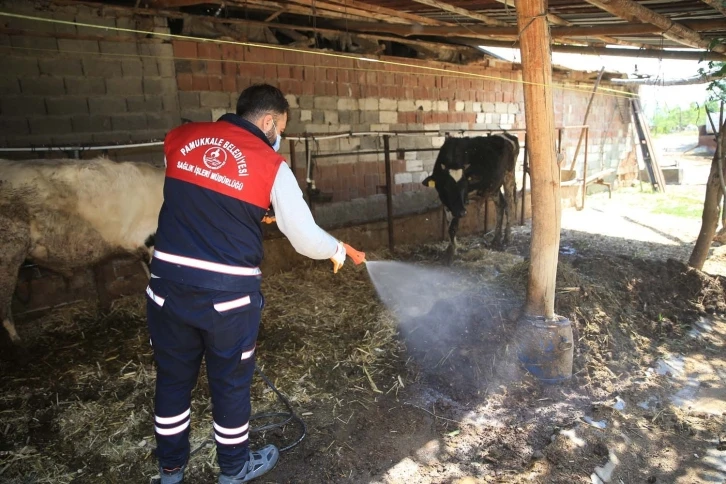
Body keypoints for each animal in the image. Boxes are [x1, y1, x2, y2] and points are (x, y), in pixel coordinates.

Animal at [424, 132, 520, 260]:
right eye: (446, 187)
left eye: (465, 186)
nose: (462, 212)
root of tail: (507, 135)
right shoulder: (446, 201)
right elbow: (449, 225)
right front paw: (450, 249)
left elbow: (454, 226)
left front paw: (451, 253)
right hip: (494, 186)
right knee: (500, 205)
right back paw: (496, 240)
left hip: (509, 176)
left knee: (509, 206)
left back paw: (507, 238)